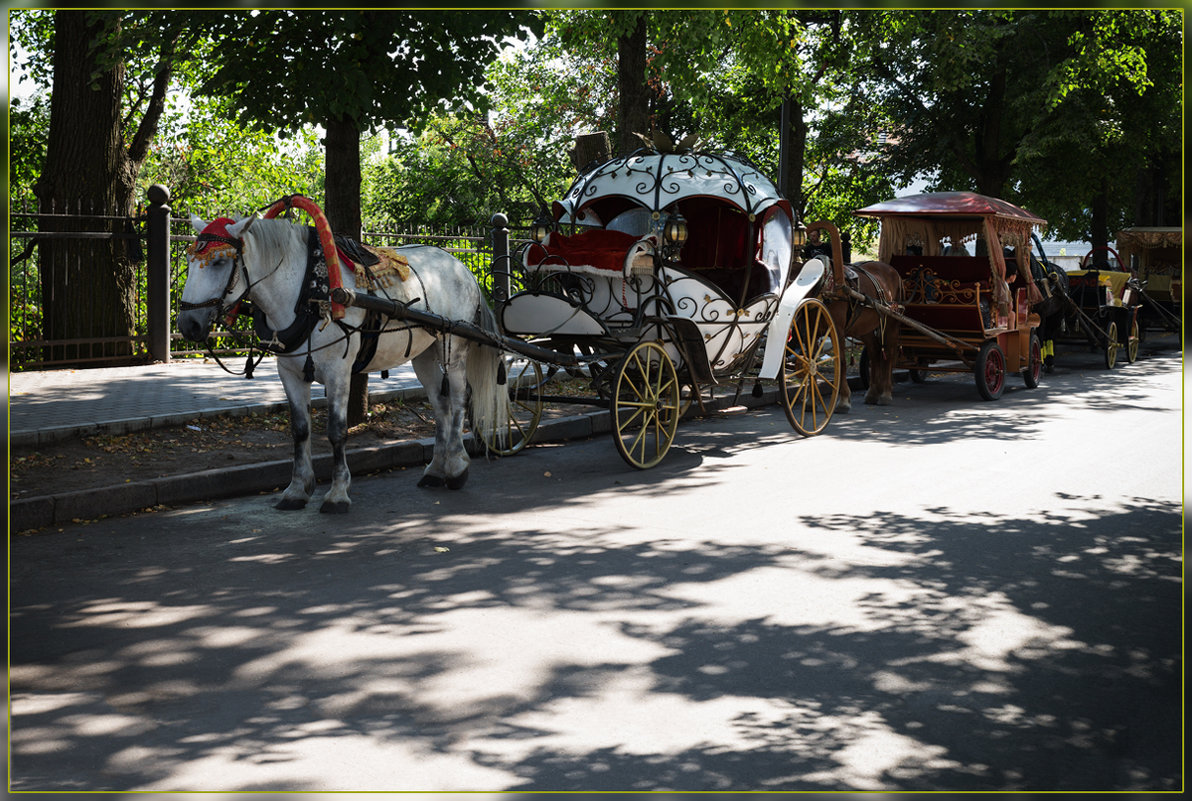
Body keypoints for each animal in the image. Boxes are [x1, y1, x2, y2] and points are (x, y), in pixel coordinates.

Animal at [177, 214, 507, 512]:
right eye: (191, 261)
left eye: (219, 262)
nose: (188, 324)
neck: (307, 292)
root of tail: (461, 267)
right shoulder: (289, 372)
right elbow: (300, 429)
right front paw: (297, 490)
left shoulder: (339, 371)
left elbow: (337, 431)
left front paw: (337, 493)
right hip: (424, 355)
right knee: (440, 405)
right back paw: (437, 470)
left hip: (453, 349)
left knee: (459, 400)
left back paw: (457, 466)